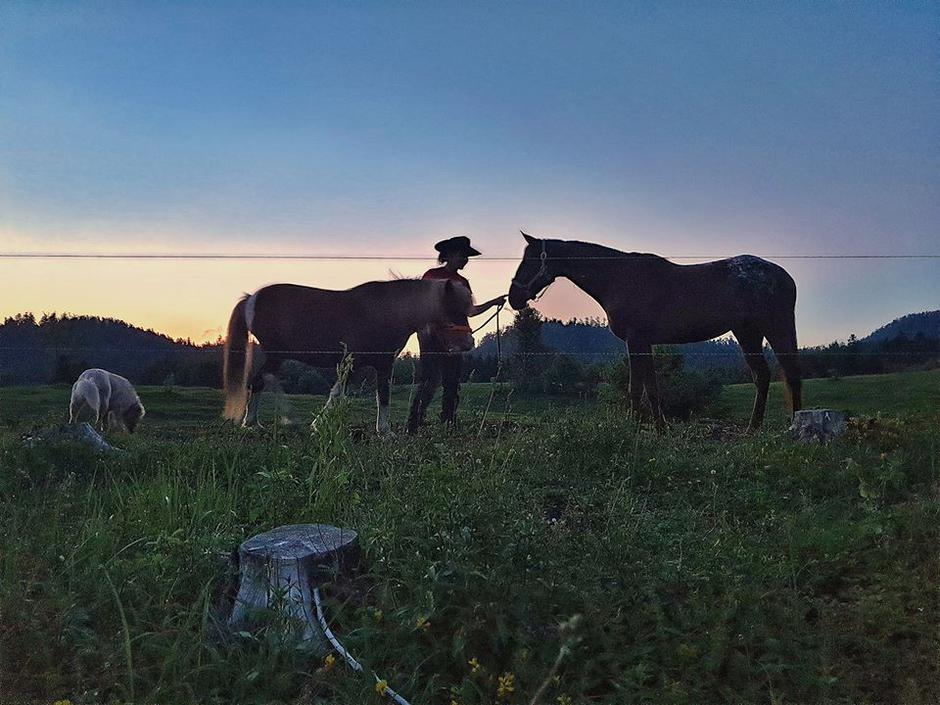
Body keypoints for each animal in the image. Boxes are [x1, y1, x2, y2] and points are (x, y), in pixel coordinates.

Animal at [224, 278, 474, 432]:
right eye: (453, 309)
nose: (468, 343)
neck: (387, 312)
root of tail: (251, 298)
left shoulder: (361, 364)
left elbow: (339, 392)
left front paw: (318, 423)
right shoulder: (379, 363)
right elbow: (382, 395)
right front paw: (385, 431)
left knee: (261, 381)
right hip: (277, 355)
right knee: (260, 381)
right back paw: (260, 421)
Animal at [510, 232, 804, 428]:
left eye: (530, 260)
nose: (513, 298)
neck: (619, 278)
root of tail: (784, 275)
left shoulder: (638, 341)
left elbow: (644, 387)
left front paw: (654, 427)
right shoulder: (639, 343)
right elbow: (641, 386)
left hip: (775, 328)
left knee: (790, 374)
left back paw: (794, 425)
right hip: (748, 333)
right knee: (762, 376)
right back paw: (754, 428)